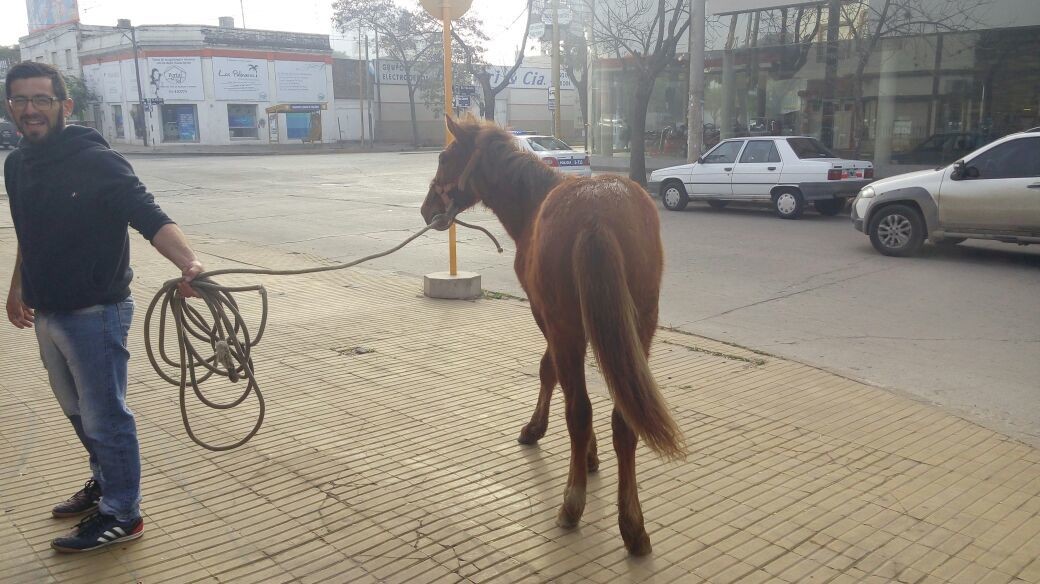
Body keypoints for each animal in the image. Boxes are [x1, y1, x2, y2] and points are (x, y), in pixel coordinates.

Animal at [421, 116, 686, 556]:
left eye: (444, 157)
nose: (428, 209)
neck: (533, 203)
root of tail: (596, 216)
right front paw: (591, 456)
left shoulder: (545, 317)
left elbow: (551, 374)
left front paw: (543, 433)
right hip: (641, 327)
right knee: (623, 418)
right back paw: (632, 525)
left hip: (567, 327)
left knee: (578, 410)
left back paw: (572, 503)